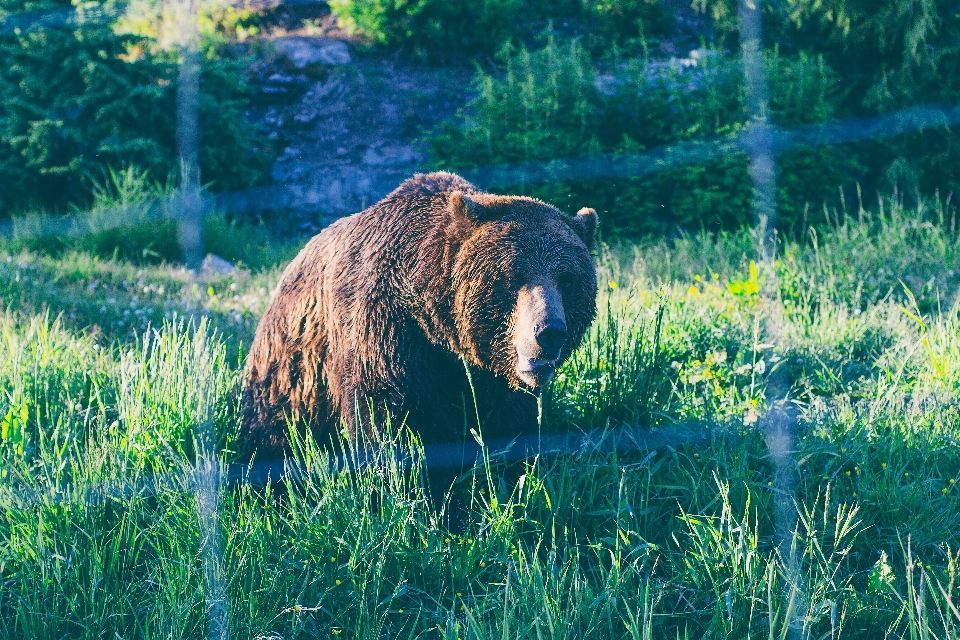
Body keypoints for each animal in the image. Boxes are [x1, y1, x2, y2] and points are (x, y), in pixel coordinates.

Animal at [240, 172, 596, 458]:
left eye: (567, 279)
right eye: (513, 275)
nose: (549, 331)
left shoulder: (491, 375)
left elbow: (508, 426)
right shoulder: (388, 329)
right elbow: (386, 414)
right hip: (291, 371)